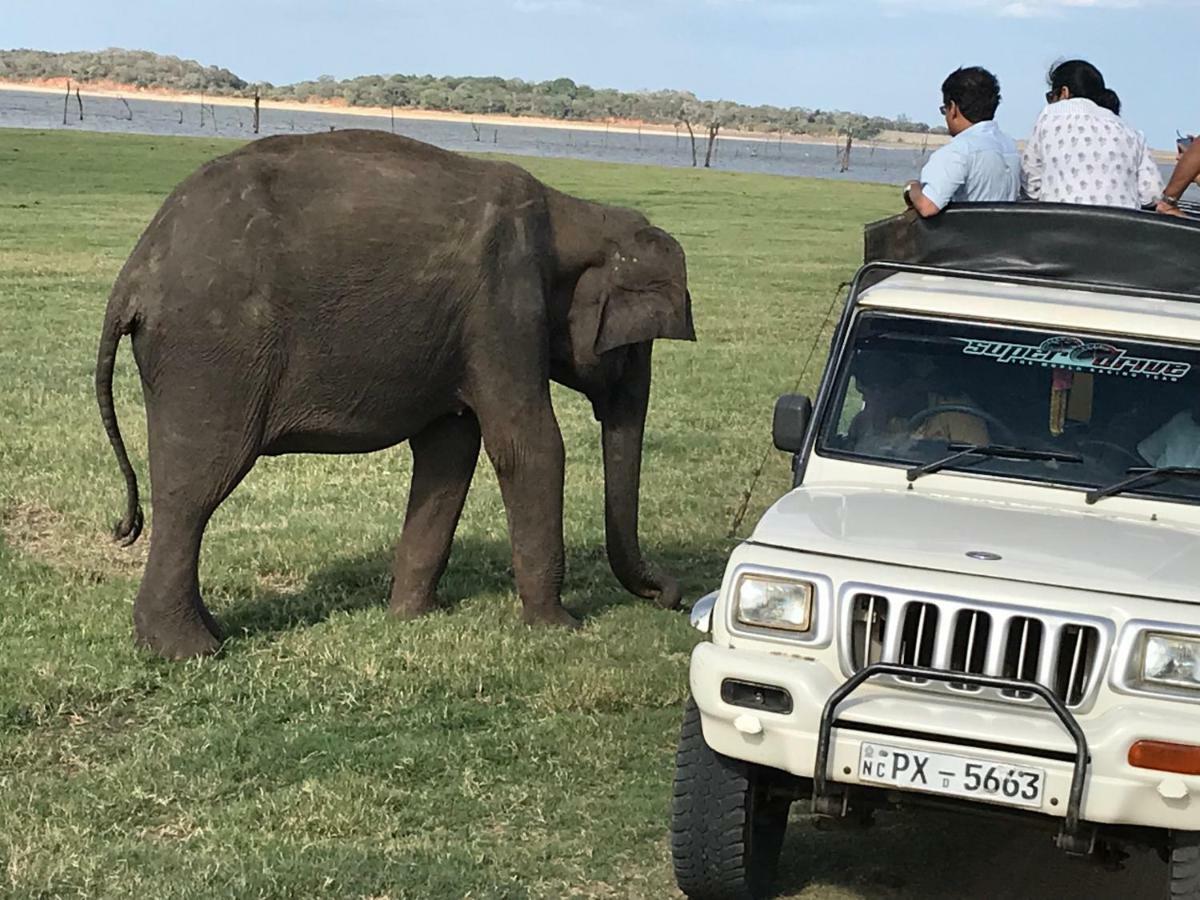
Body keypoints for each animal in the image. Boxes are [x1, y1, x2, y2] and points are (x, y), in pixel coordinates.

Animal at [98, 128, 700, 662]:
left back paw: (206, 633)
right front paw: (559, 627)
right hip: (212, 353)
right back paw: (189, 651)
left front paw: (414, 616)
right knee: (195, 488)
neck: (576, 213)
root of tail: (133, 275)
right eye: (634, 344)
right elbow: (528, 445)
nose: (671, 597)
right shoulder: (504, 301)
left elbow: (449, 451)